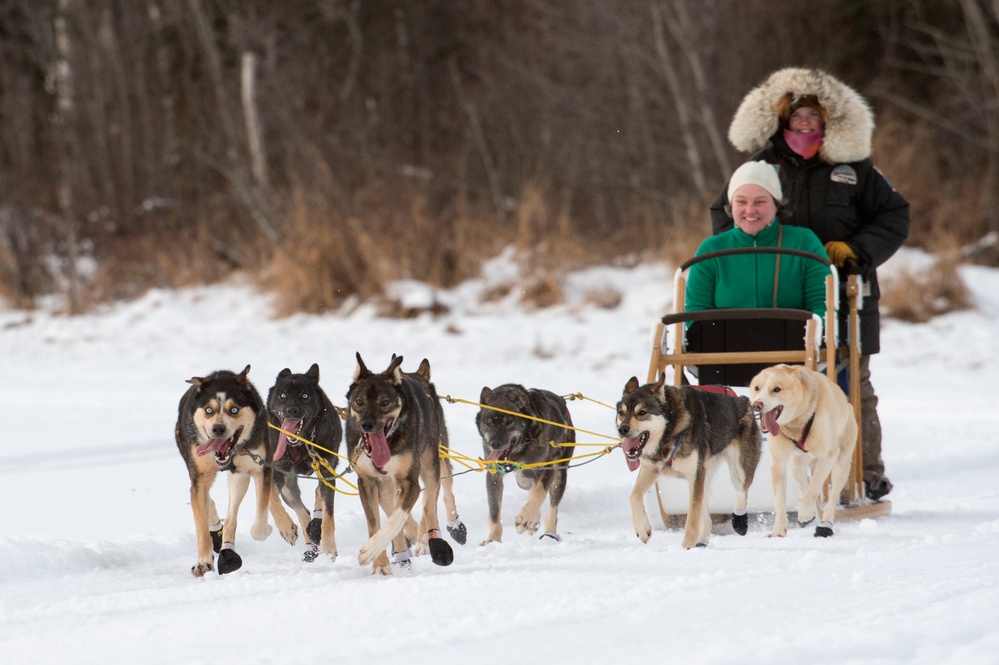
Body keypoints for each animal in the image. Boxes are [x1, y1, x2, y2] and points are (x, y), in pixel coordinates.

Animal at [175, 366, 298, 572]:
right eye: (209, 410)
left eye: (234, 410)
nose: (218, 429)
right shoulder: (200, 476)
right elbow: (201, 524)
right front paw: (203, 561)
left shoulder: (255, 467)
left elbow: (259, 521)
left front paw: (268, 528)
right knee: (208, 499)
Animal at [268, 364, 346, 560]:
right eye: (283, 395)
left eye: (305, 396)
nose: (292, 410)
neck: (302, 442)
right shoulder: (278, 469)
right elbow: (272, 498)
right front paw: (286, 528)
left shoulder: (327, 470)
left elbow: (328, 513)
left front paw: (329, 547)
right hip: (288, 488)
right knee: (302, 512)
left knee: (318, 496)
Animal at [612, 376, 760, 548]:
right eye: (621, 413)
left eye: (642, 413)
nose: (622, 429)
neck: (669, 433)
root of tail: (742, 400)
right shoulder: (652, 468)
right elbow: (634, 495)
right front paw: (642, 529)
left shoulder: (695, 475)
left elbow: (692, 518)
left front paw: (686, 547)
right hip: (704, 478)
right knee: (707, 517)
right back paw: (702, 540)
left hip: (738, 471)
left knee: (741, 493)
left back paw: (739, 522)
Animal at [752, 360, 860, 536]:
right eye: (757, 388)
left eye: (776, 389)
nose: (756, 404)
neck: (798, 422)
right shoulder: (779, 463)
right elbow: (780, 501)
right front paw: (778, 530)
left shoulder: (826, 457)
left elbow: (814, 488)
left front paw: (805, 512)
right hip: (798, 461)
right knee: (802, 478)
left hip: (841, 464)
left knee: (831, 496)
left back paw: (825, 525)